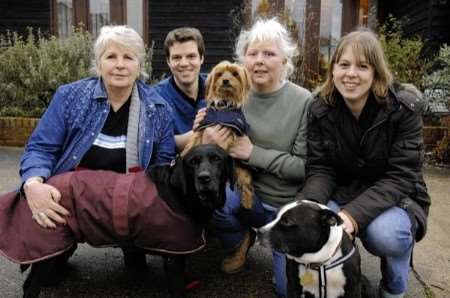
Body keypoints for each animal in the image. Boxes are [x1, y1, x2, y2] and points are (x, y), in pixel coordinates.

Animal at [15, 143, 234, 296]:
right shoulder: (172, 259)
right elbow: (177, 290)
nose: (204, 178)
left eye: (217, 159)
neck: (180, 193)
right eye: (193, 162)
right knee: (30, 287)